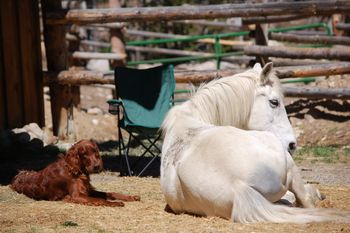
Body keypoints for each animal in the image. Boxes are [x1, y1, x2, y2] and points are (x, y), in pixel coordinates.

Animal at [10, 139, 140, 207]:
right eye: (84, 154)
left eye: (95, 151)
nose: (97, 166)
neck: (75, 169)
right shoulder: (77, 196)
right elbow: (101, 200)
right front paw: (116, 203)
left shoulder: (88, 190)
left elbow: (110, 193)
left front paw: (130, 197)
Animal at [160, 62, 348, 223]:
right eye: (274, 102)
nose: (292, 145)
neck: (190, 118)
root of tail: (238, 185)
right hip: (288, 164)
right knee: (304, 198)